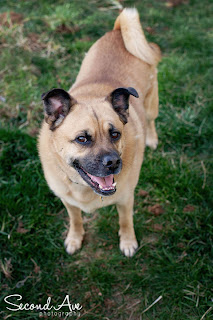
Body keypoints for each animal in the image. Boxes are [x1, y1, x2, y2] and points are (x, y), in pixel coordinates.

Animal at [38, 8, 161, 258]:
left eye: (115, 134)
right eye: (82, 139)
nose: (113, 163)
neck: (84, 189)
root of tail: (118, 30)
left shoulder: (126, 198)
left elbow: (126, 221)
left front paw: (128, 242)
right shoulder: (68, 202)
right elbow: (75, 220)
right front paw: (75, 238)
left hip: (152, 102)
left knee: (151, 120)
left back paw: (152, 139)